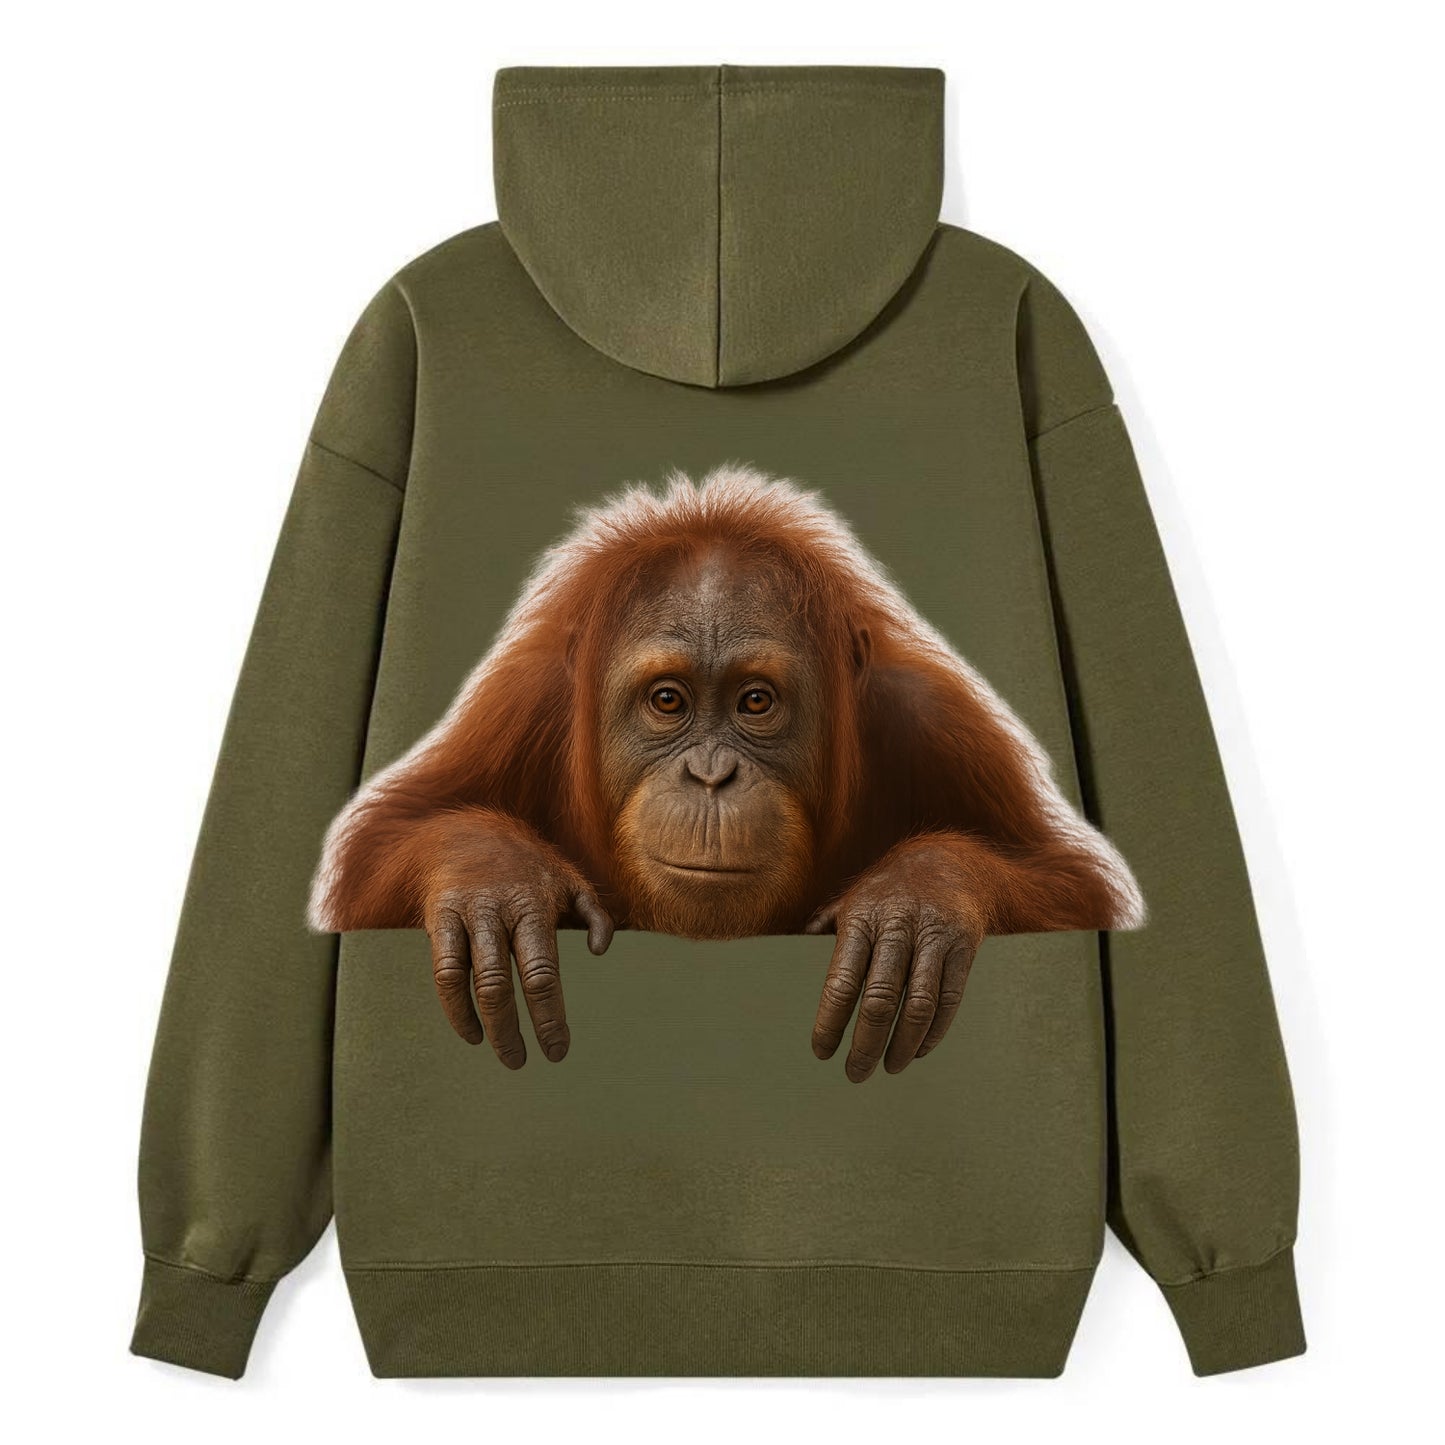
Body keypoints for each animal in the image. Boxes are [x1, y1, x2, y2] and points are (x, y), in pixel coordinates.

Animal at [308, 464, 1144, 1082]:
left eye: (755, 701)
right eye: (667, 700)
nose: (711, 775)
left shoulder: (933, 718)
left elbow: (1068, 883)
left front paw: (916, 903)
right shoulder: (522, 703)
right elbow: (383, 846)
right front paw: (495, 883)